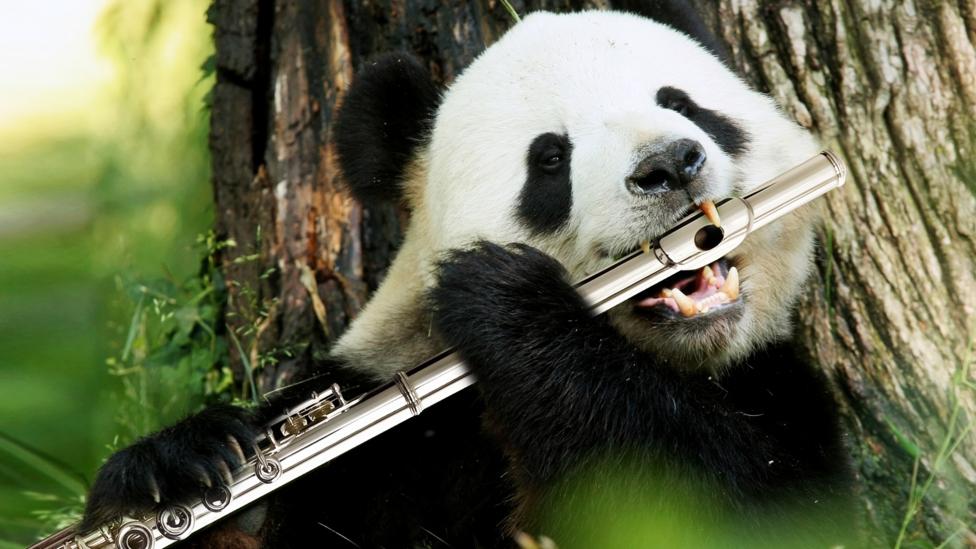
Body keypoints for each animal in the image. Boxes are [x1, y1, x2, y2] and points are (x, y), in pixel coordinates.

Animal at [81, 6, 856, 548]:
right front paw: (179, 466)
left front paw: (504, 300)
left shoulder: (781, 392)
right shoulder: (382, 452)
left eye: (685, 104)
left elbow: (730, 503)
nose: (670, 163)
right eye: (550, 158)